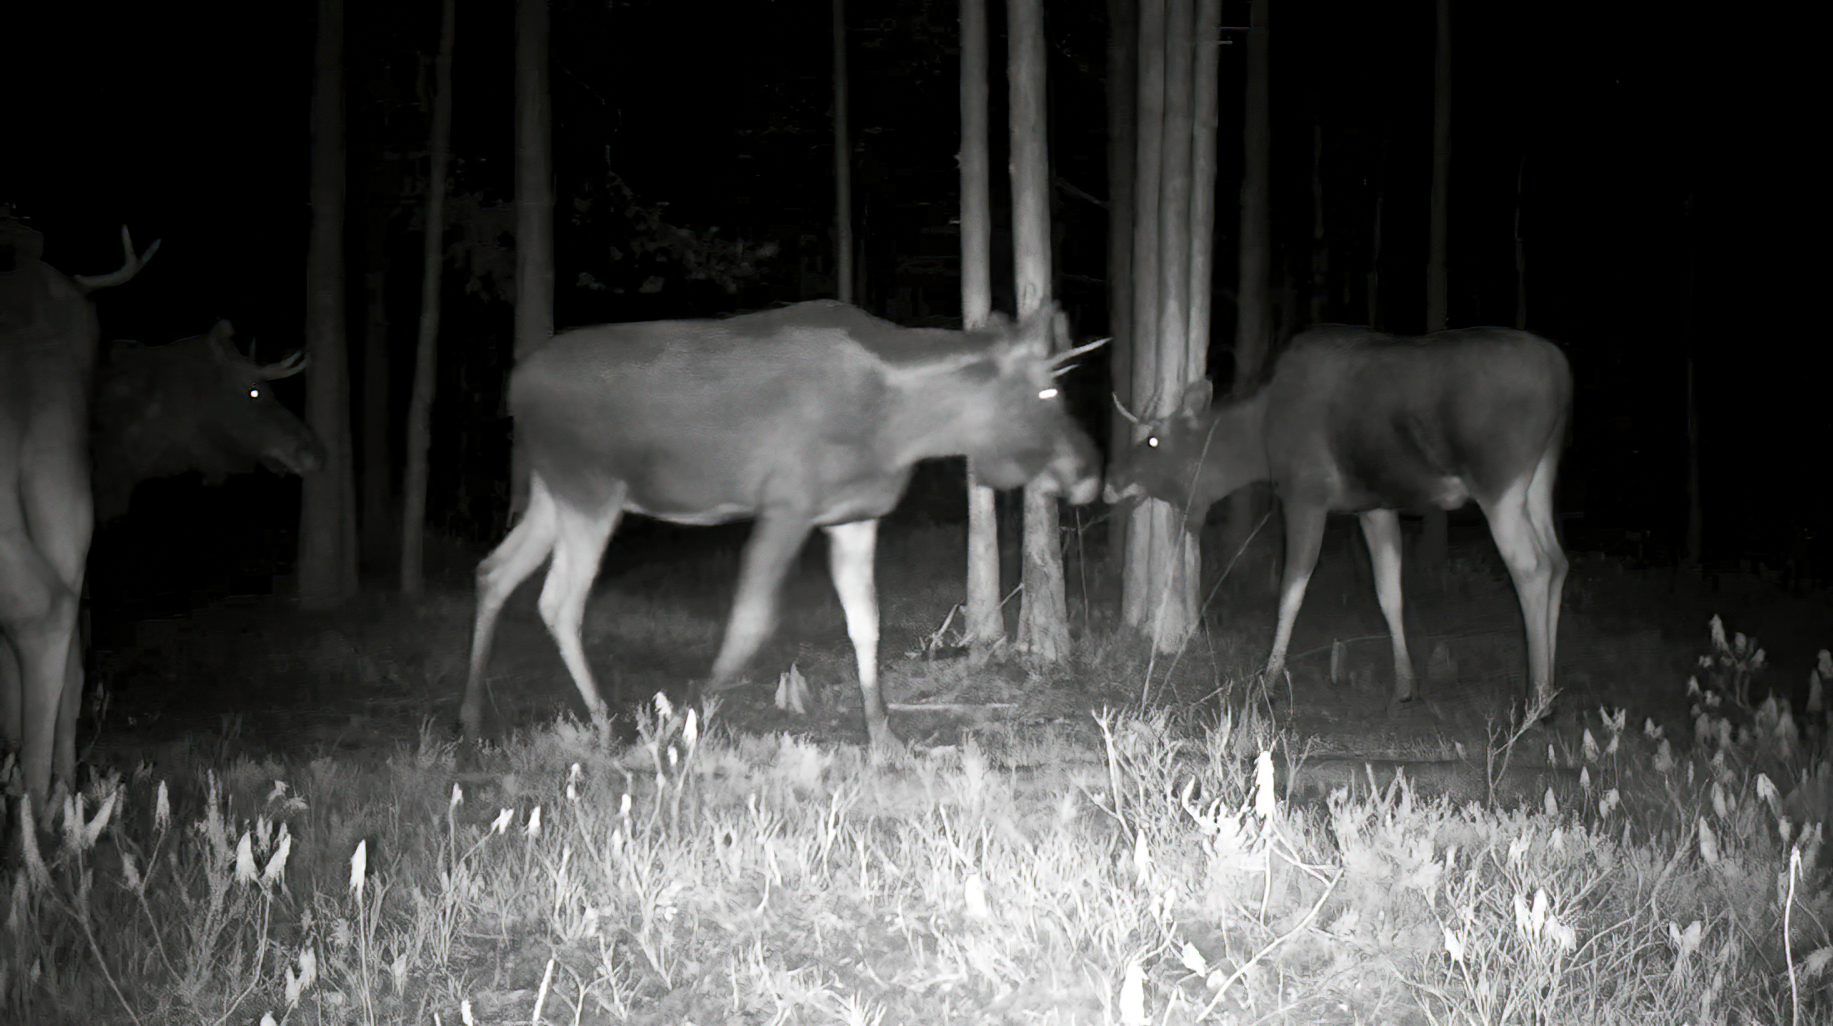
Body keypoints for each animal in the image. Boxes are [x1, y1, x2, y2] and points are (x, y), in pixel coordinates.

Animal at [465, 300, 1107, 751]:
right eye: (1048, 390)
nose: (1091, 472)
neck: (905, 426)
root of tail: (513, 386)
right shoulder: (786, 503)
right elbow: (750, 621)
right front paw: (686, 724)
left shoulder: (853, 515)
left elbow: (866, 623)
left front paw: (884, 737)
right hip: (589, 487)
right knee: (558, 600)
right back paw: (603, 724)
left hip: (552, 491)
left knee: (494, 570)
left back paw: (472, 721)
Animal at [1107, 326, 1569, 714]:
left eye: (1152, 440)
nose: (1110, 483)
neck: (1259, 443)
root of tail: (1563, 374)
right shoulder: (1374, 506)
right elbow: (1389, 593)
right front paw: (1405, 685)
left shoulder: (1305, 495)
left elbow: (1290, 591)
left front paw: (1267, 683)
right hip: (1539, 477)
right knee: (1558, 561)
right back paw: (1549, 693)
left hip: (1499, 478)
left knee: (1532, 566)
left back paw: (1537, 700)